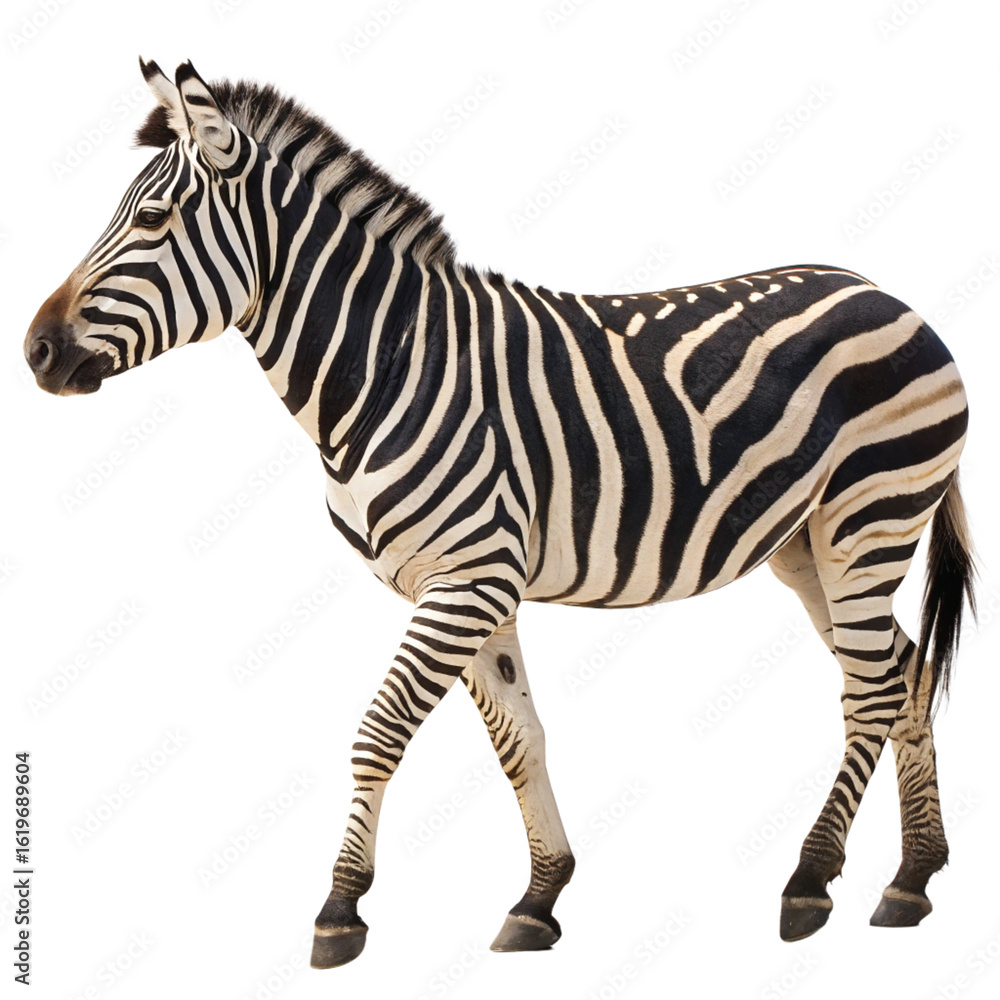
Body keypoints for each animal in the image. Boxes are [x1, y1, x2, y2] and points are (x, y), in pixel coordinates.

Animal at [24, 59, 976, 968]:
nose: (35, 350)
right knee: (906, 669)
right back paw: (912, 878)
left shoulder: (469, 579)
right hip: (807, 544)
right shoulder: (461, 587)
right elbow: (520, 740)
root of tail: (891, 295)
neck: (388, 368)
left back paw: (812, 880)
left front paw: (340, 908)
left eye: (153, 219)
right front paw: (538, 898)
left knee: (870, 688)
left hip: (870, 515)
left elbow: (378, 732)